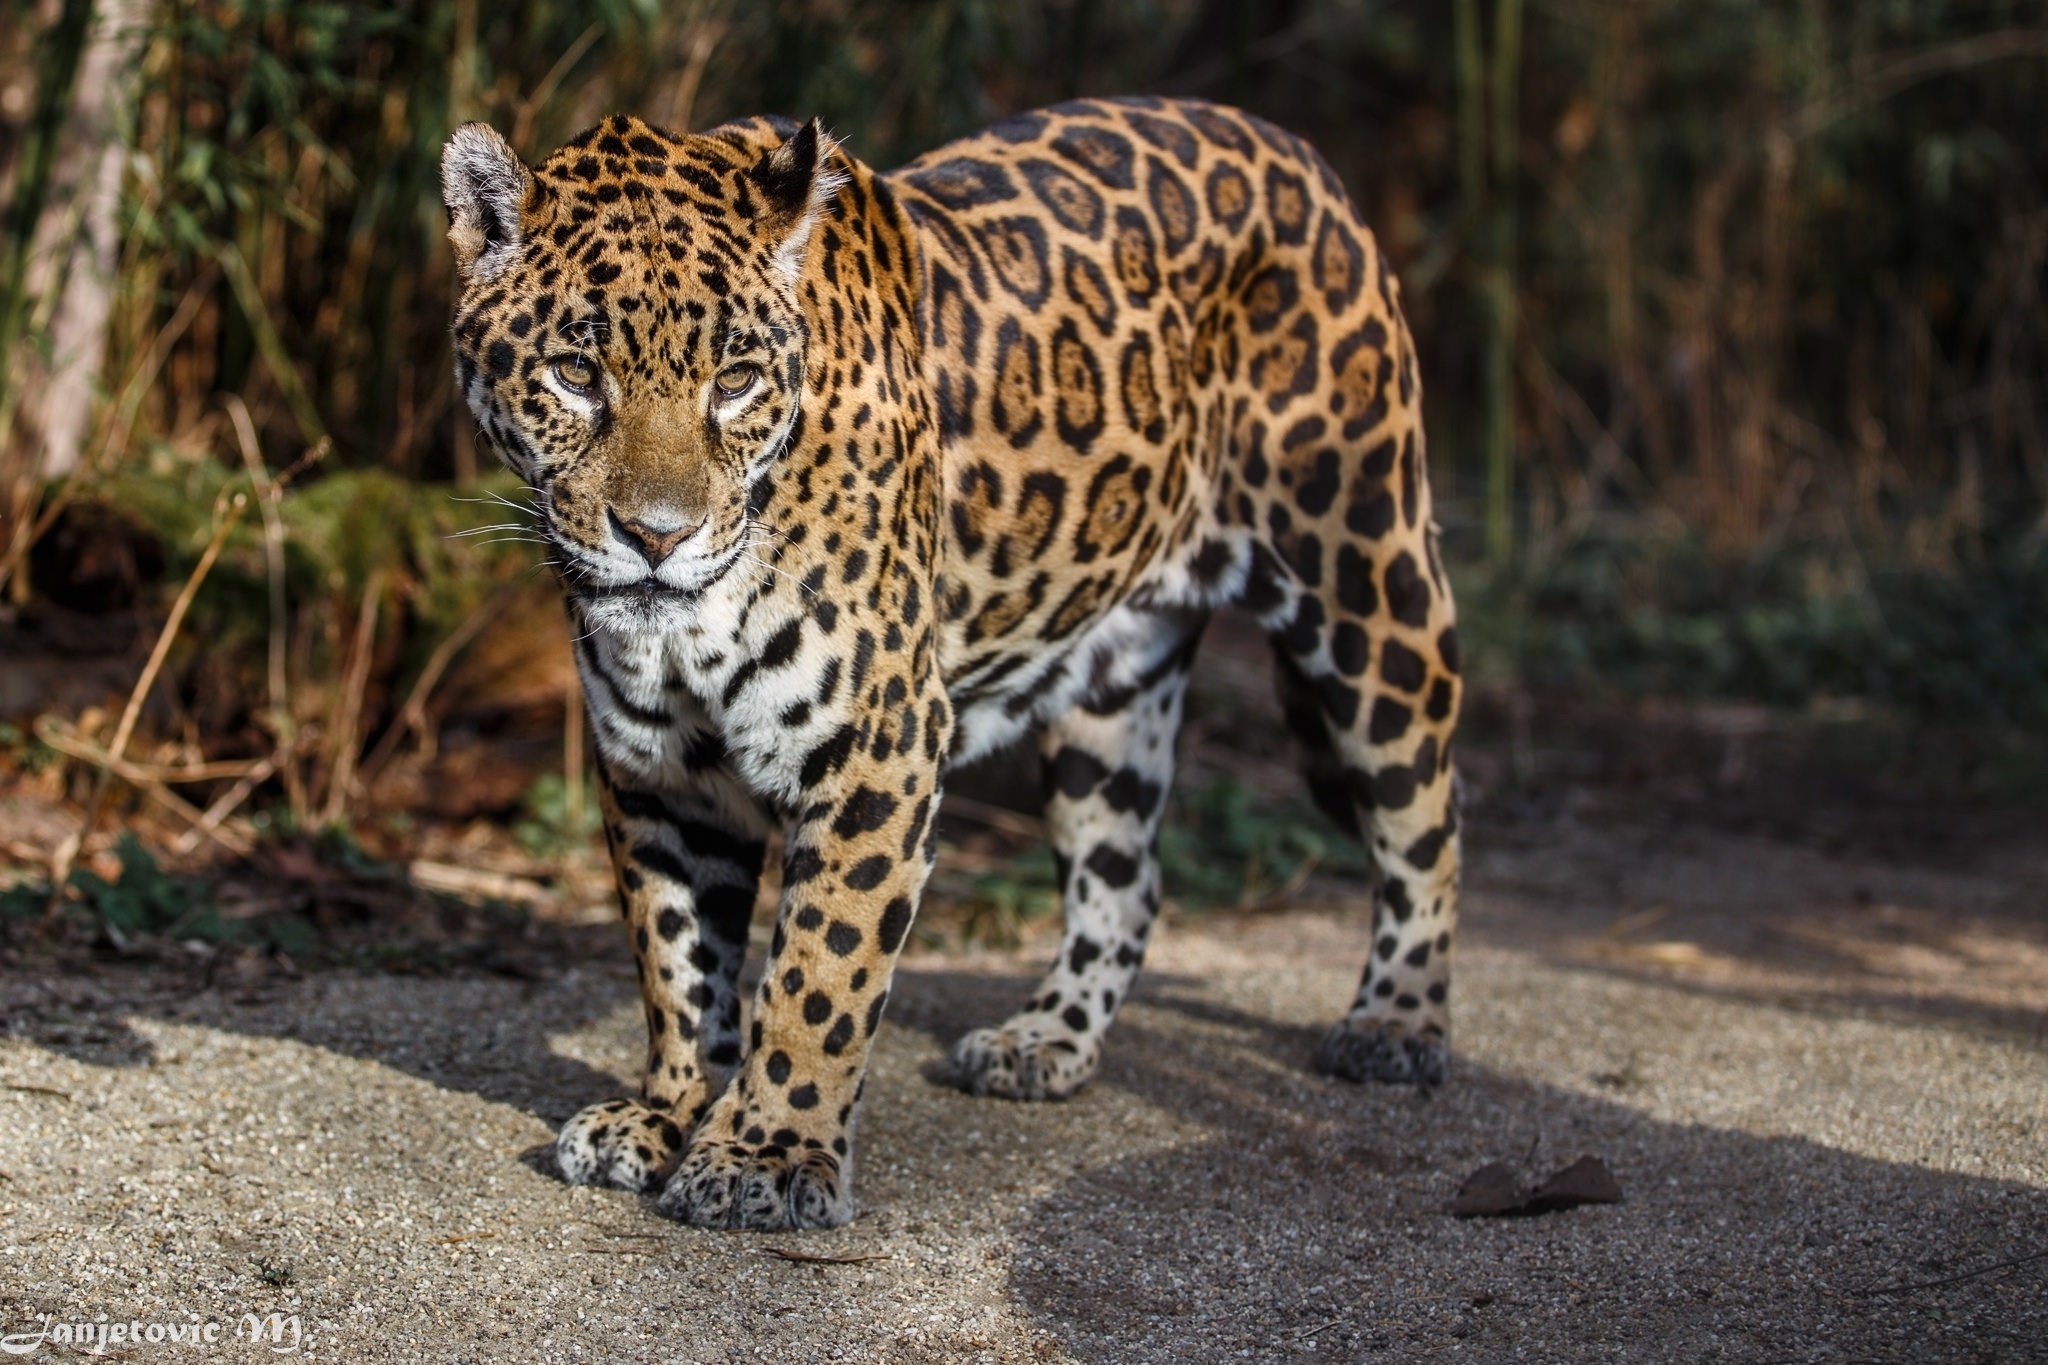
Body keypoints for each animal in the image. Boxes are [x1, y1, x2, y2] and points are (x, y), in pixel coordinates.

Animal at [440, 95, 1462, 1231]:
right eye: (576, 375)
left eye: (734, 381)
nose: (658, 536)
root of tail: (1293, 148)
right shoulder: (657, 769)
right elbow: (678, 959)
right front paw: (669, 1112)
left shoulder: (875, 745)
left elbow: (819, 969)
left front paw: (765, 1153)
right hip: (1115, 686)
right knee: (1126, 878)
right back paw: (1045, 1040)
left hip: (1368, 581)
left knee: (1425, 816)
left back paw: (1397, 1024)